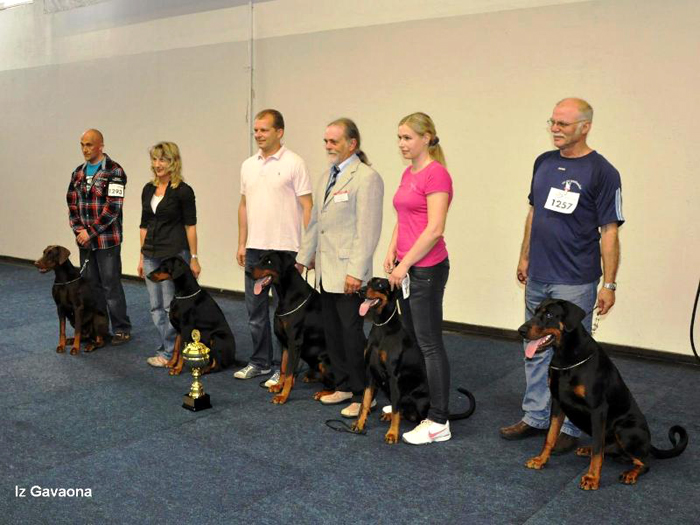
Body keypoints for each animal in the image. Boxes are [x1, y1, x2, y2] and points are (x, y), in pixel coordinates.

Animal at [250, 250, 334, 404]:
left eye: (269, 261)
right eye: (259, 259)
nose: (248, 270)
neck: (287, 295)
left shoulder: (294, 343)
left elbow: (289, 372)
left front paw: (283, 395)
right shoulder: (285, 343)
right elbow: (283, 367)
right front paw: (279, 386)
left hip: (324, 362)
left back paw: (323, 393)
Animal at [350, 277, 475, 443]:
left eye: (380, 284)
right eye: (369, 282)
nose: (360, 290)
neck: (382, 327)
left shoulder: (394, 377)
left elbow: (396, 410)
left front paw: (392, 434)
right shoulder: (370, 373)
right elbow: (365, 402)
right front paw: (359, 424)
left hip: (416, 399)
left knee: (414, 415)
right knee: (403, 411)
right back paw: (387, 415)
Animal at [521, 298, 688, 490]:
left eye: (549, 314)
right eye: (535, 311)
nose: (521, 330)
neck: (566, 357)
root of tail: (648, 443)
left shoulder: (597, 408)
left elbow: (597, 450)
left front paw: (592, 478)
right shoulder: (557, 401)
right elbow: (550, 436)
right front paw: (540, 460)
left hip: (624, 429)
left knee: (643, 462)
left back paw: (630, 473)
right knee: (609, 449)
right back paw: (588, 450)